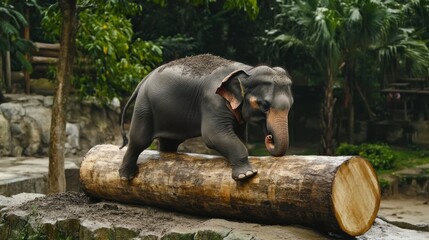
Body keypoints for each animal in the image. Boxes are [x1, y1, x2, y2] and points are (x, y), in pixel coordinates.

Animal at [118, 54, 292, 181]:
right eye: (264, 105)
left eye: (291, 105)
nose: (269, 137)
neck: (246, 69)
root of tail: (146, 78)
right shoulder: (212, 101)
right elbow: (213, 135)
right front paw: (246, 175)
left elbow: (240, 137)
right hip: (144, 106)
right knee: (139, 140)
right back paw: (125, 177)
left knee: (169, 143)